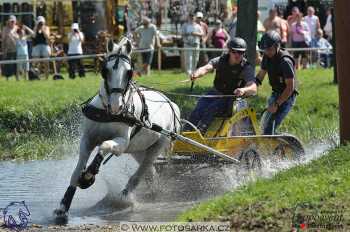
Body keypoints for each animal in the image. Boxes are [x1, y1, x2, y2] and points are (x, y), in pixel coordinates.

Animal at [54, 38, 180, 221]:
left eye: (129, 72)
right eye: (105, 71)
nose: (116, 105)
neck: (108, 114)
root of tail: (170, 103)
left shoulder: (121, 143)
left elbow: (104, 145)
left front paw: (89, 175)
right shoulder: (87, 140)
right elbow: (76, 172)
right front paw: (63, 206)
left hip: (157, 146)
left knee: (139, 175)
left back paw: (123, 199)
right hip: (139, 150)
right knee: (151, 174)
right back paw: (153, 194)